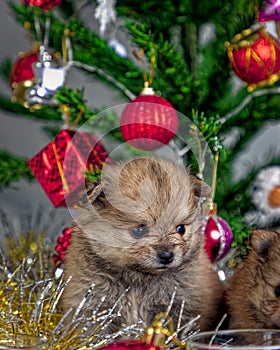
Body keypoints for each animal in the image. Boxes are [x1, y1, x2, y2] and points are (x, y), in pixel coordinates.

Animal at [62, 157, 224, 332]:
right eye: (139, 230)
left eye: (181, 229)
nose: (167, 256)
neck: (138, 279)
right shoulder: (92, 304)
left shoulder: (182, 306)